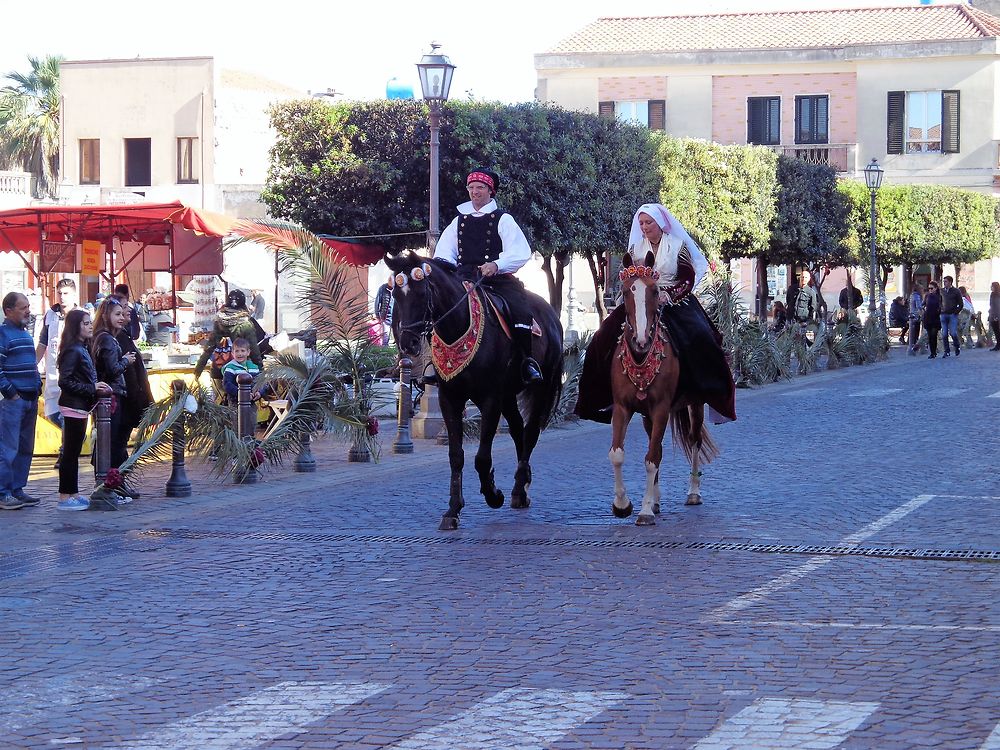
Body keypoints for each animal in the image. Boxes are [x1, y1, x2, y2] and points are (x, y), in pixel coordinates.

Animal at [386, 254, 568, 536]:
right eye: (395, 293)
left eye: (421, 292)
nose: (408, 343)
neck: (458, 327)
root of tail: (551, 314)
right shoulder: (450, 399)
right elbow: (456, 455)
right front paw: (452, 510)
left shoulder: (490, 399)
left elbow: (481, 457)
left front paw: (493, 494)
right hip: (508, 395)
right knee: (517, 429)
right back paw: (522, 482)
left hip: (540, 387)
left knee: (530, 433)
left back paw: (518, 488)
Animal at [608, 250, 720, 524]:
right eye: (626, 291)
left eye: (655, 291)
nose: (640, 340)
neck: (641, 357)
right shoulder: (622, 407)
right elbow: (618, 454)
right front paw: (623, 504)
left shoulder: (660, 408)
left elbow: (651, 458)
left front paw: (645, 511)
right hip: (647, 414)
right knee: (655, 444)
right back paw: (656, 500)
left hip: (694, 404)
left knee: (694, 440)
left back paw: (693, 493)